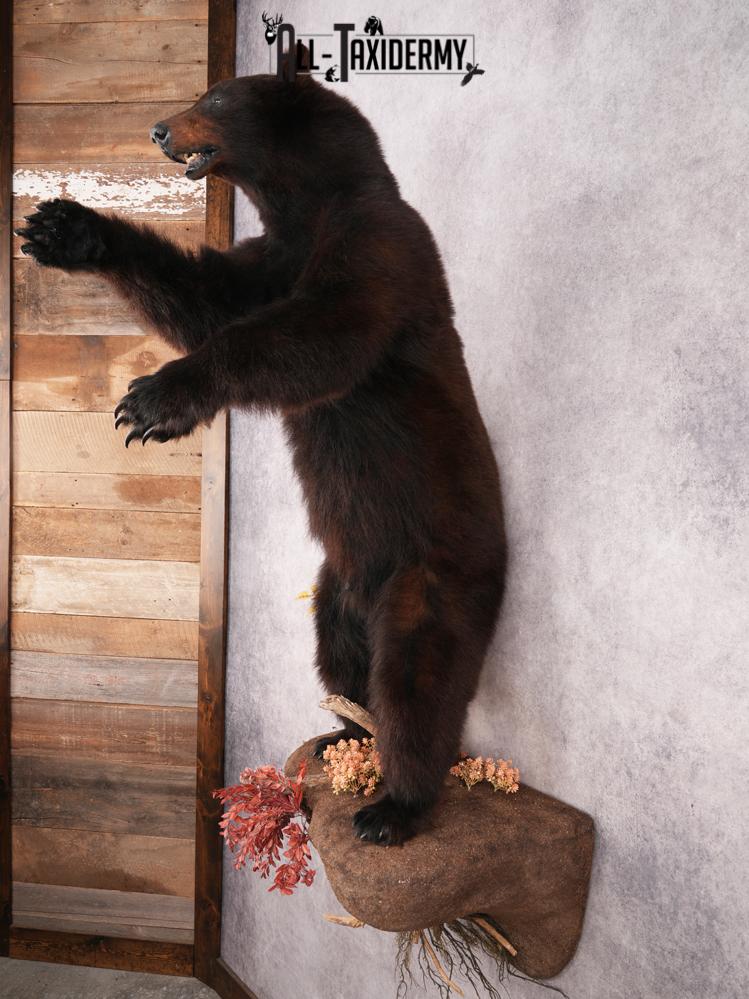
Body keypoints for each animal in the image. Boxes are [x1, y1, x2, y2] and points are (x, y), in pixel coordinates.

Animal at [16, 63, 506, 846]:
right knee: (342, 660)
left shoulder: (379, 243)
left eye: (213, 97)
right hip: (336, 587)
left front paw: (153, 400)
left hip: (434, 575)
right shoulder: (269, 260)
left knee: (419, 682)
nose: (157, 128)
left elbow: (321, 330)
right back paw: (342, 737)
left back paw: (392, 805)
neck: (306, 206)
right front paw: (68, 229)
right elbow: (205, 296)